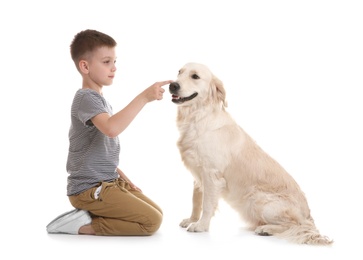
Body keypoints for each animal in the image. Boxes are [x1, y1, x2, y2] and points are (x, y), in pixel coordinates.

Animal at [169, 62, 334, 245]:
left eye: (195, 76)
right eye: (179, 72)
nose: (172, 85)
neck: (198, 117)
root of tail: (308, 215)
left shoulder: (211, 175)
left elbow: (207, 204)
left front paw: (201, 226)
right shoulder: (198, 175)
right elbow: (196, 201)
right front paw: (191, 220)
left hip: (258, 200)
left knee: (296, 225)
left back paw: (266, 229)